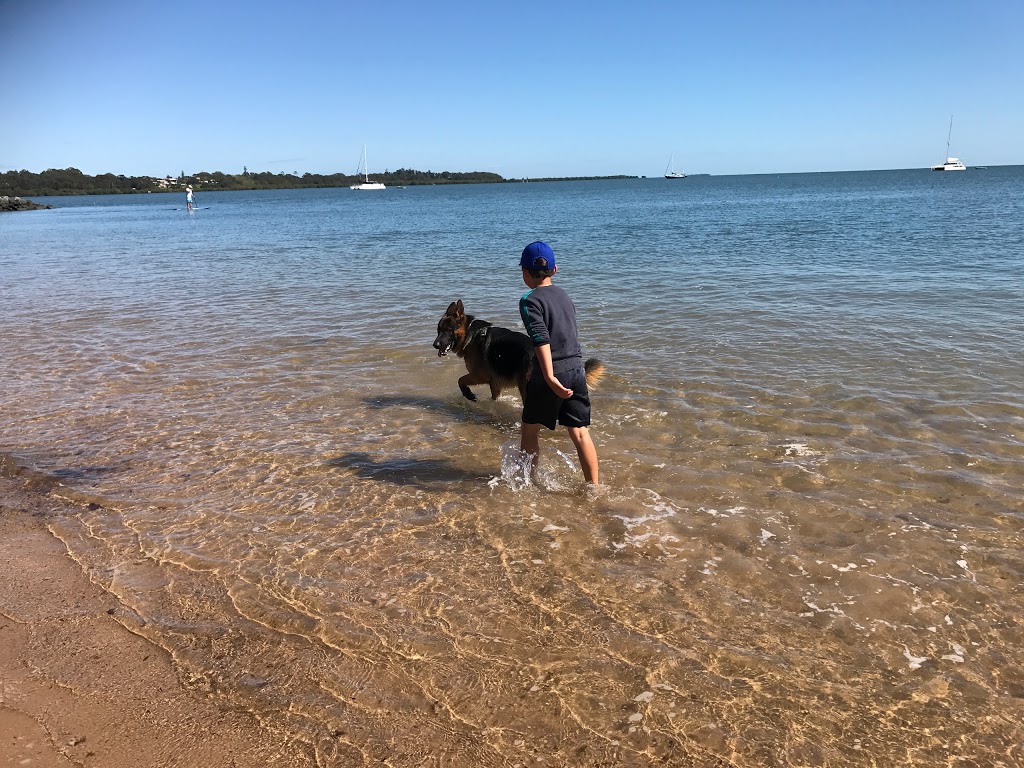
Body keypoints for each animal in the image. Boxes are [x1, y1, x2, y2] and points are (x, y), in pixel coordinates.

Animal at [434, 299, 606, 403]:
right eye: (438, 330)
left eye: (448, 331)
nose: (435, 345)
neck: (471, 333)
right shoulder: (494, 385)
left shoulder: (480, 375)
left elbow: (460, 380)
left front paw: (468, 394)